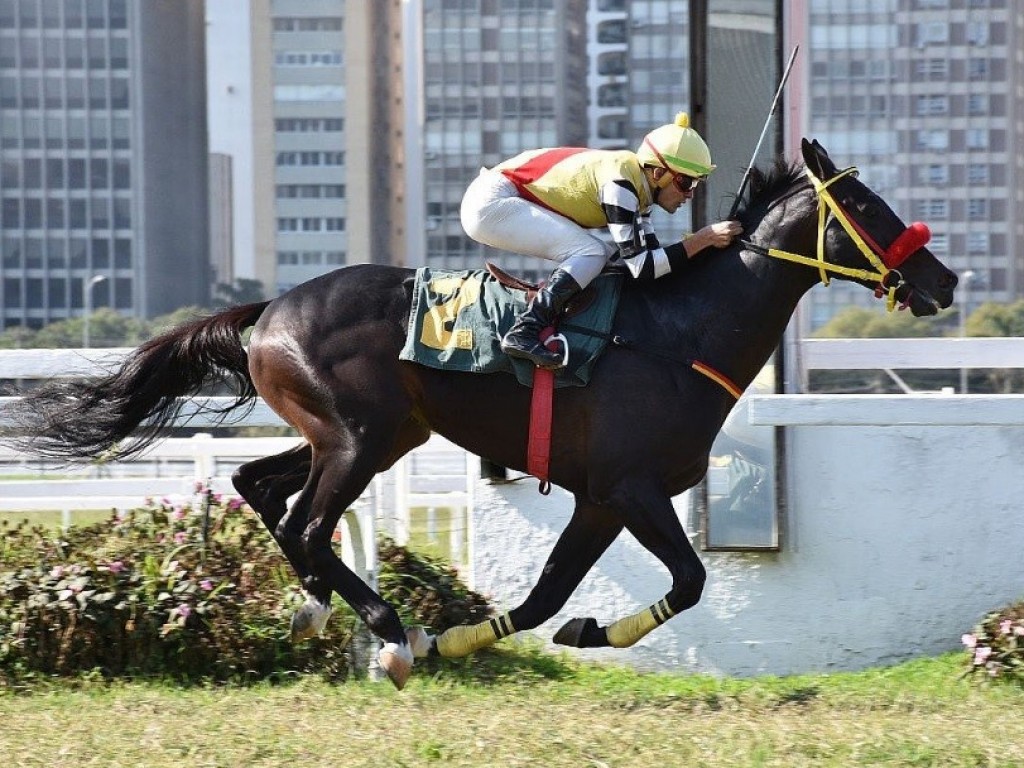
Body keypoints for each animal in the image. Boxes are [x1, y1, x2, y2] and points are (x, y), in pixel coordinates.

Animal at [6, 141, 958, 688]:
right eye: (863, 207)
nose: (943, 280)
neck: (678, 333)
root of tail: (271, 307)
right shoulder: (632, 487)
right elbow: (689, 581)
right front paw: (457, 638)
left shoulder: (599, 499)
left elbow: (545, 598)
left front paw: (480, 638)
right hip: (358, 437)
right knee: (308, 522)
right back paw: (386, 633)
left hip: (369, 435)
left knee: (258, 486)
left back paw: (321, 608)